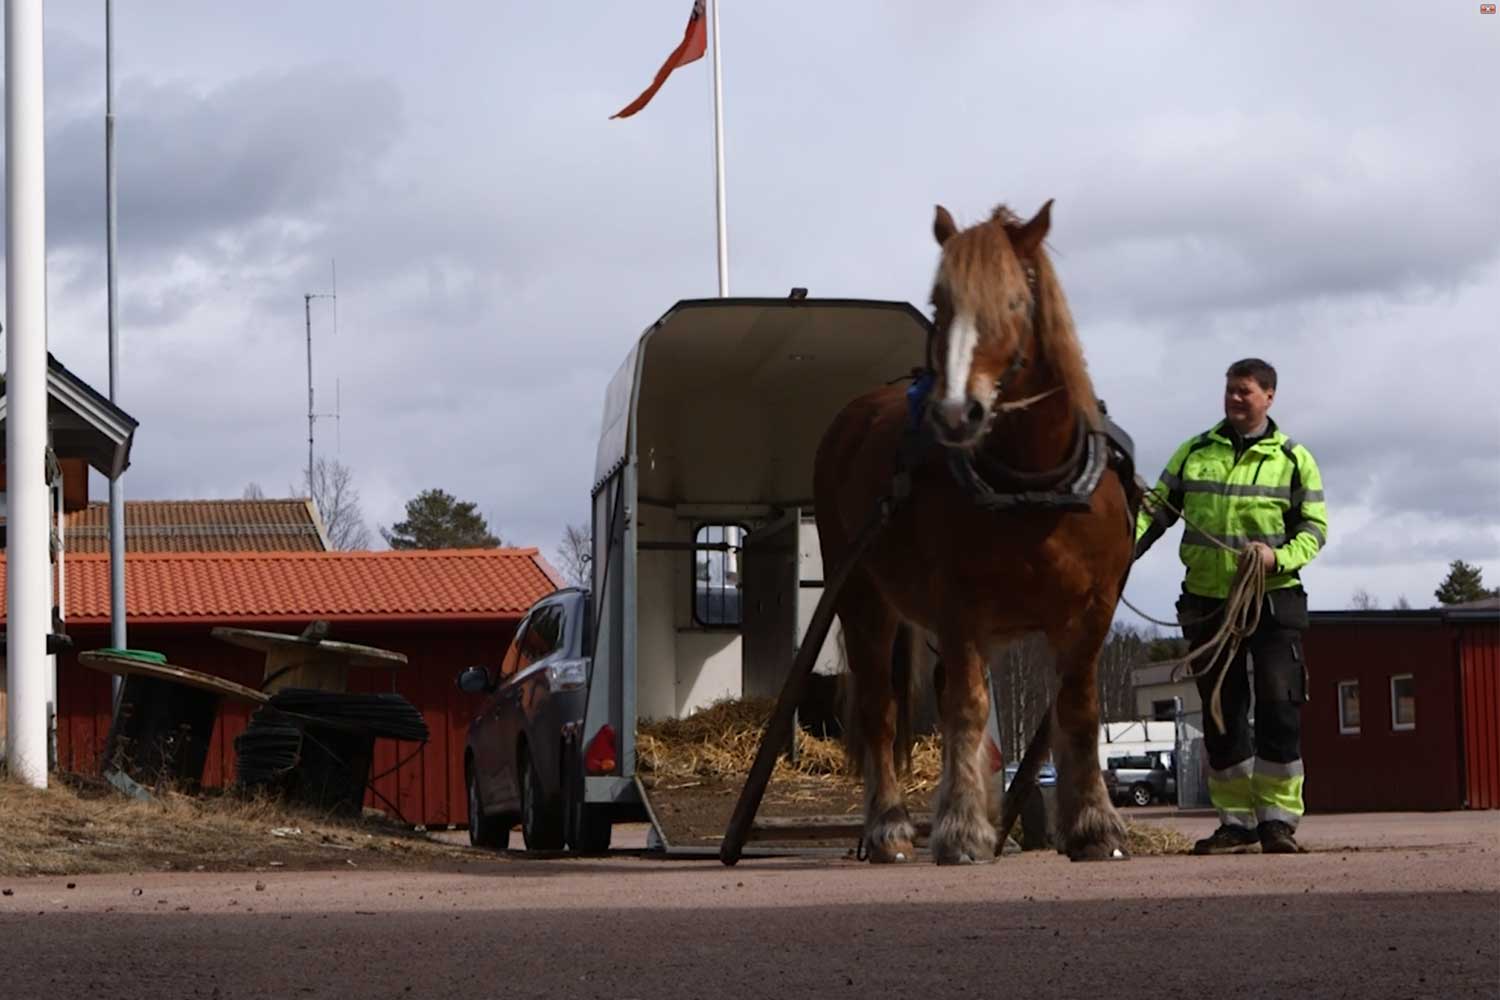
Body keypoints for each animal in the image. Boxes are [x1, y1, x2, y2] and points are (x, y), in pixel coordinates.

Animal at [813, 200, 1135, 864]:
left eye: (1014, 302)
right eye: (940, 304)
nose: (956, 413)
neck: (1035, 485)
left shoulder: (1092, 609)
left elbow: (1077, 708)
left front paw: (1093, 824)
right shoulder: (960, 607)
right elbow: (965, 706)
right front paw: (962, 828)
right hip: (860, 596)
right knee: (881, 709)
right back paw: (887, 827)